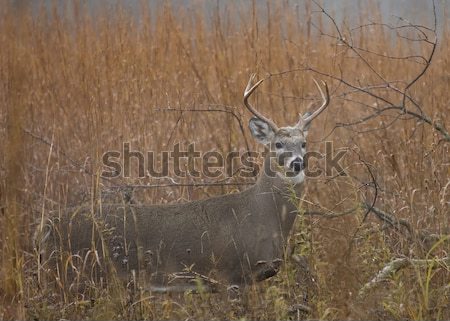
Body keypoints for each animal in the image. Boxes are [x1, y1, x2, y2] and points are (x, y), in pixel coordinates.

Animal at [36, 74, 330, 292]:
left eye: (304, 143)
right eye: (278, 144)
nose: (297, 163)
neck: (261, 215)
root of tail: (46, 226)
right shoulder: (230, 273)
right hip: (80, 274)